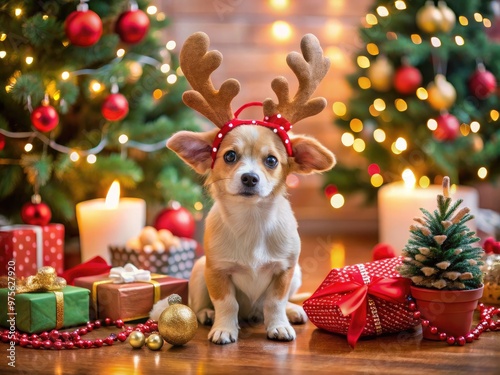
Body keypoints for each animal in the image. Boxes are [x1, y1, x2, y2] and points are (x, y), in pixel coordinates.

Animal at [163, 33, 336, 346]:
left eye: (271, 160)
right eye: (230, 156)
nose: (250, 178)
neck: (252, 221)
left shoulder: (285, 270)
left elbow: (275, 302)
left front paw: (278, 325)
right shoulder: (216, 272)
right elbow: (227, 303)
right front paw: (224, 328)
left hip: (297, 274)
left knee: (276, 304)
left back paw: (292, 311)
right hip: (198, 270)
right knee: (201, 303)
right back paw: (206, 314)